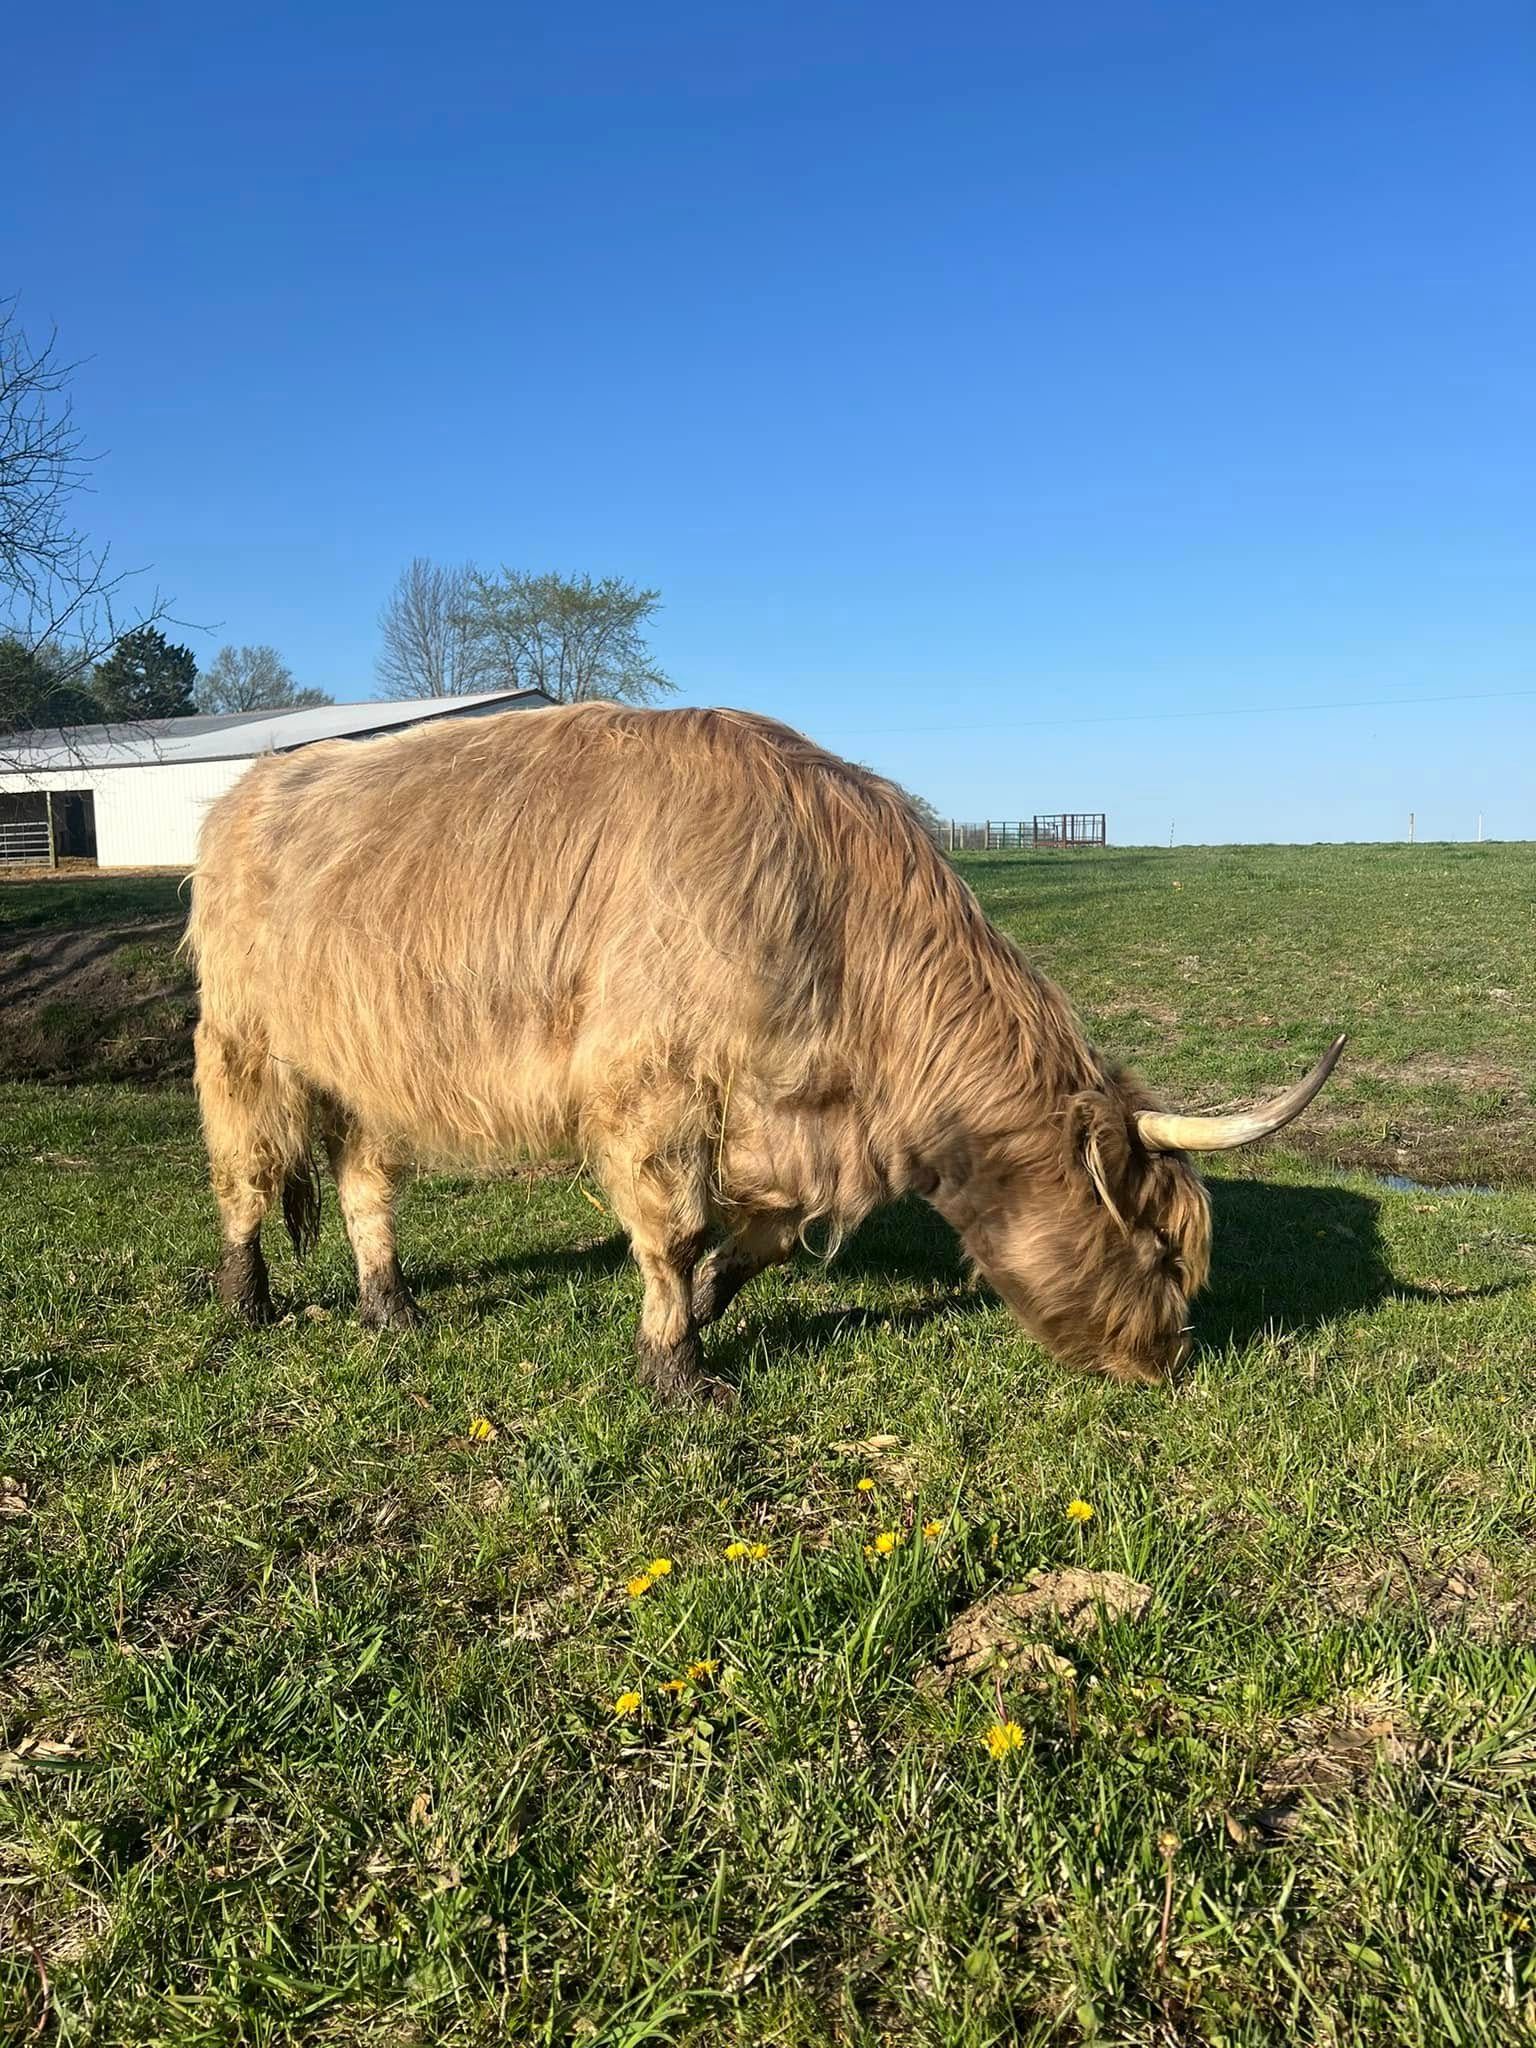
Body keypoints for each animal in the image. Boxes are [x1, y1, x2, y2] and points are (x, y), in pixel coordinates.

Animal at [186, 703, 1343, 1406]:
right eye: (1162, 1250)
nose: (1170, 1356)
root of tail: (250, 788)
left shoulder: (788, 1122)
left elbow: (765, 1236)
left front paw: (705, 1306)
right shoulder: (651, 1089)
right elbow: (676, 1228)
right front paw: (678, 1367)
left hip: (370, 1056)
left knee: (364, 1178)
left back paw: (392, 1306)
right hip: (244, 1039)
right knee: (244, 1169)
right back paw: (247, 1298)